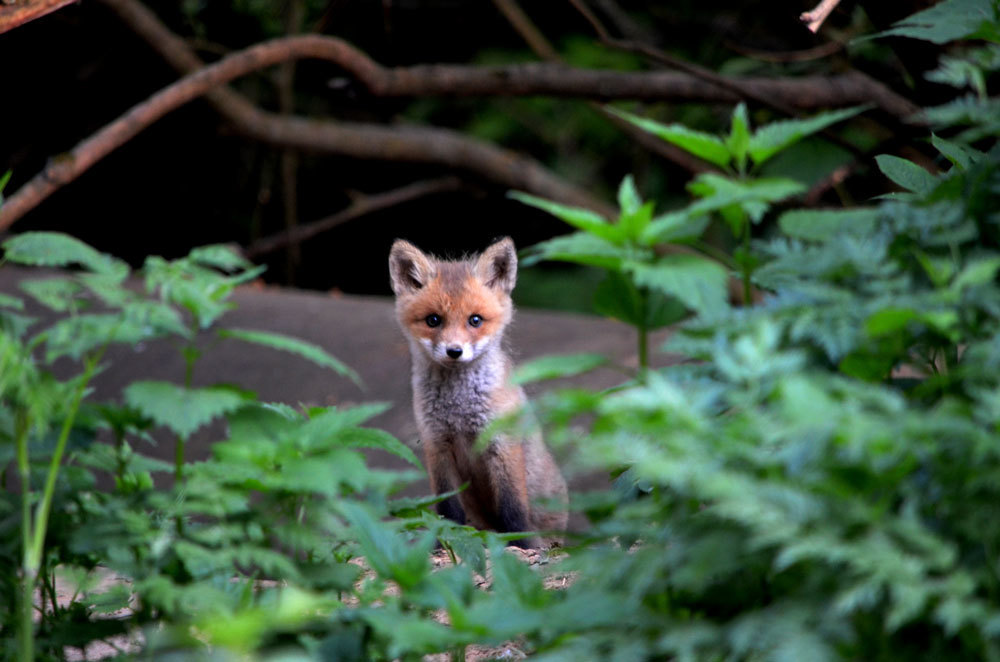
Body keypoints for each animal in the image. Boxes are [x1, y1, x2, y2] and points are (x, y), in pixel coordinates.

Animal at [388, 239, 568, 548]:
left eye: (475, 320)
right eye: (433, 320)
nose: (454, 351)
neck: (459, 410)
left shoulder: (502, 443)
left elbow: (512, 506)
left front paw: (522, 543)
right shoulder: (437, 445)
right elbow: (447, 509)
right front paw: (442, 542)